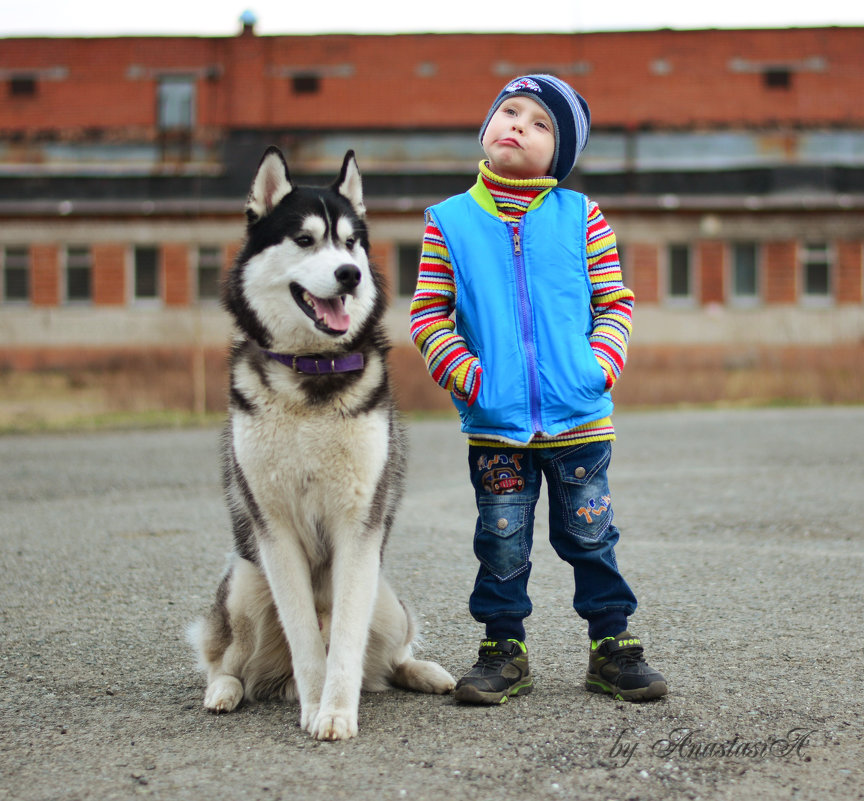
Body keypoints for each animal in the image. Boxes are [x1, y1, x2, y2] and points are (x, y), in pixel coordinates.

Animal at [192, 148, 456, 736]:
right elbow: (307, 641)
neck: (312, 372)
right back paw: (225, 691)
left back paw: (425, 672)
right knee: (226, 660)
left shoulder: (360, 525)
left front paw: (337, 710)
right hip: (244, 583)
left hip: (387, 599)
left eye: (352, 242)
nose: (350, 274)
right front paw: (318, 706)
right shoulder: (274, 529)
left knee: (390, 655)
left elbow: (346, 641)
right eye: (305, 239)